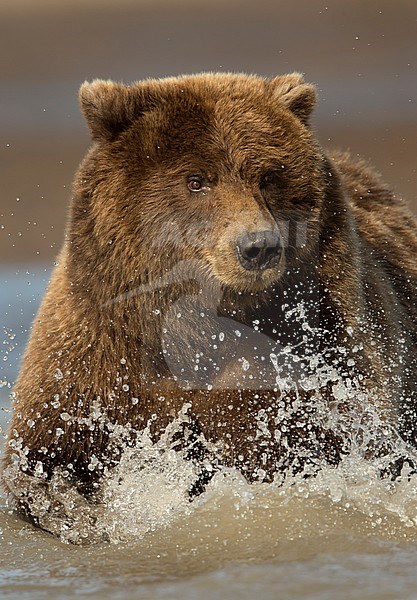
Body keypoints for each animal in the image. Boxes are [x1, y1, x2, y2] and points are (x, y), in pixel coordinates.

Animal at [2, 71, 416, 524]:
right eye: (196, 180)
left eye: (268, 177)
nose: (258, 247)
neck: (194, 328)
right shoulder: (92, 362)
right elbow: (47, 458)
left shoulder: (327, 345)